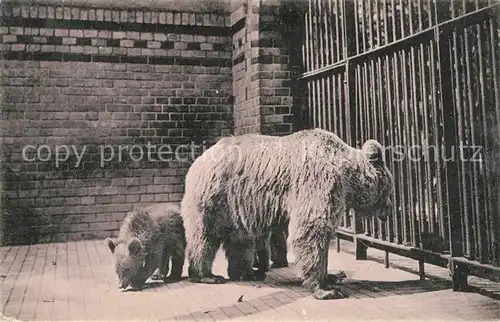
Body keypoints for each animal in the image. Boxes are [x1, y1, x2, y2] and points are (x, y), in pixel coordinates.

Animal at [181, 128, 394, 300]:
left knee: (242, 241)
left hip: (238, 207)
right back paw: (207, 275)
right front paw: (327, 289)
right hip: (214, 197)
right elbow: (311, 230)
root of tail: (197, 161)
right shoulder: (318, 181)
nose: (390, 209)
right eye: (389, 190)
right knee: (204, 237)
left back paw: (247, 273)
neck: (345, 174)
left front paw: (334, 276)